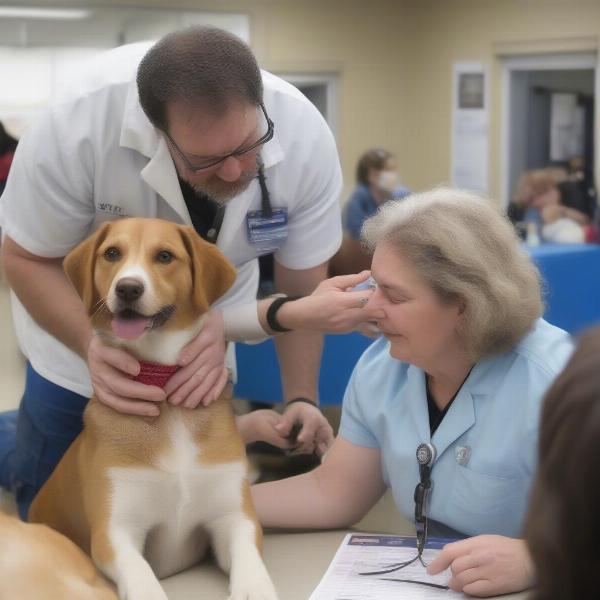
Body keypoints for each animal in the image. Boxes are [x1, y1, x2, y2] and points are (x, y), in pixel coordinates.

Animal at [29, 218, 278, 600]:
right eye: (112, 253)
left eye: (164, 256)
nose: (128, 288)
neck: (165, 399)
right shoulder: (115, 532)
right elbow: (142, 576)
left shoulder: (233, 517)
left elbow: (249, 562)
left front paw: (255, 588)